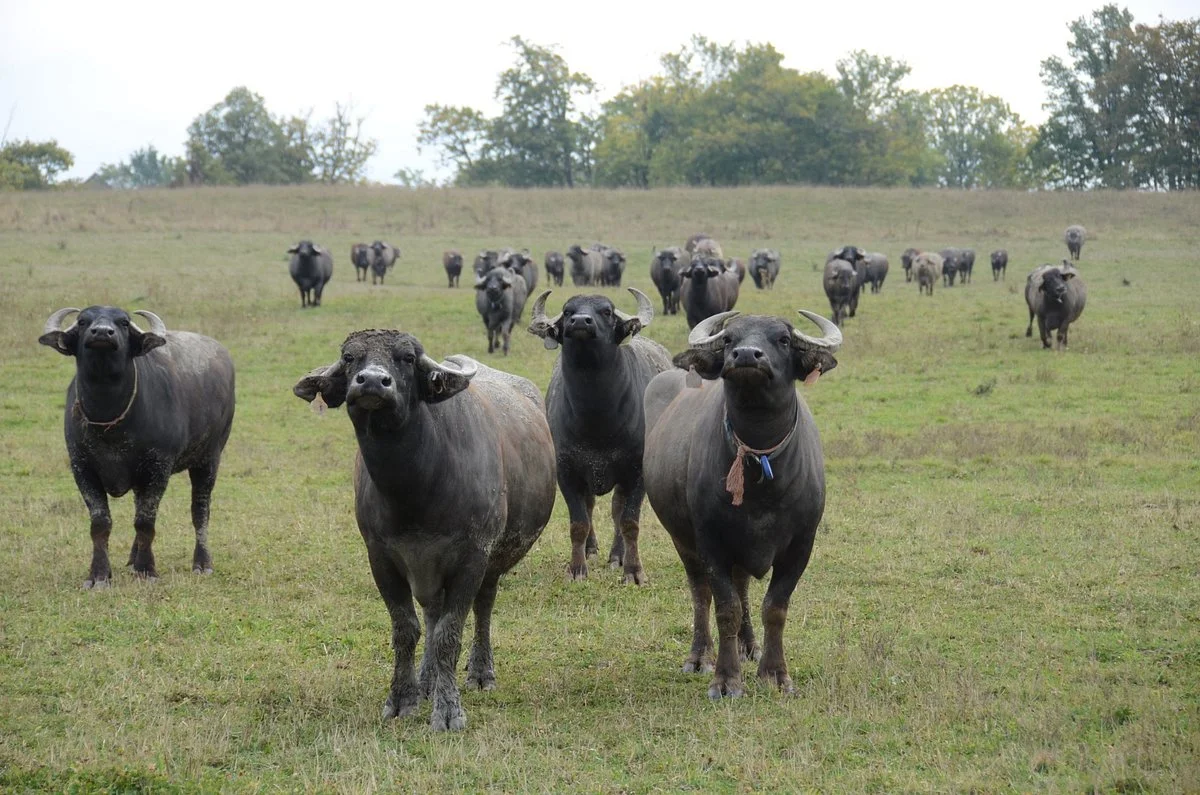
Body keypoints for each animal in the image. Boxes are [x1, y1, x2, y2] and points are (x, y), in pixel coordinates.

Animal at [39, 306, 235, 588]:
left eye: (122, 322)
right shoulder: (82, 468)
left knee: (200, 509)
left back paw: (202, 563)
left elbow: (145, 521)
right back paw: (132, 558)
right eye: (83, 321)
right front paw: (99, 575)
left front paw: (147, 569)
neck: (108, 418)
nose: (102, 332)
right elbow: (101, 522)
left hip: (209, 459)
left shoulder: (158, 467)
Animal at [293, 333, 555, 731]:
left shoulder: (473, 556)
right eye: (350, 357)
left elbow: (450, 633)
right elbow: (407, 629)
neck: (416, 488)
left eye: (406, 358)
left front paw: (448, 710)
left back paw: (480, 672)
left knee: (483, 607)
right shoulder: (381, 557)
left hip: (493, 562)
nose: (372, 382)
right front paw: (403, 697)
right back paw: (428, 679)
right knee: (432, 613)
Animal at [528, 288, 670, 584]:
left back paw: (617, 555)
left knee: (616, 510)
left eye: (606, 311)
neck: (596, 418)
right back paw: (592, 550)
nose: (581, 321)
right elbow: (579, 522)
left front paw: (633, 571)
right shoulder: (567, 472)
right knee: (592, 506)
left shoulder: (637, 473)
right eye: (568, 311)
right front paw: (576, 568)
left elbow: (629, 521)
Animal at [643, 309, 840, 698]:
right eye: (729, 339)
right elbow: (725, 608)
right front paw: (725, 679)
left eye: (783, 339)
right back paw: (700, 656)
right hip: (683, 541)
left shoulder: (801, 544)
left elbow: (774, 607)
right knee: (701, 593)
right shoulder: (711, 542)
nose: (747, 355)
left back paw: (751, 647)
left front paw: (776, 674)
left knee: (744, 587)